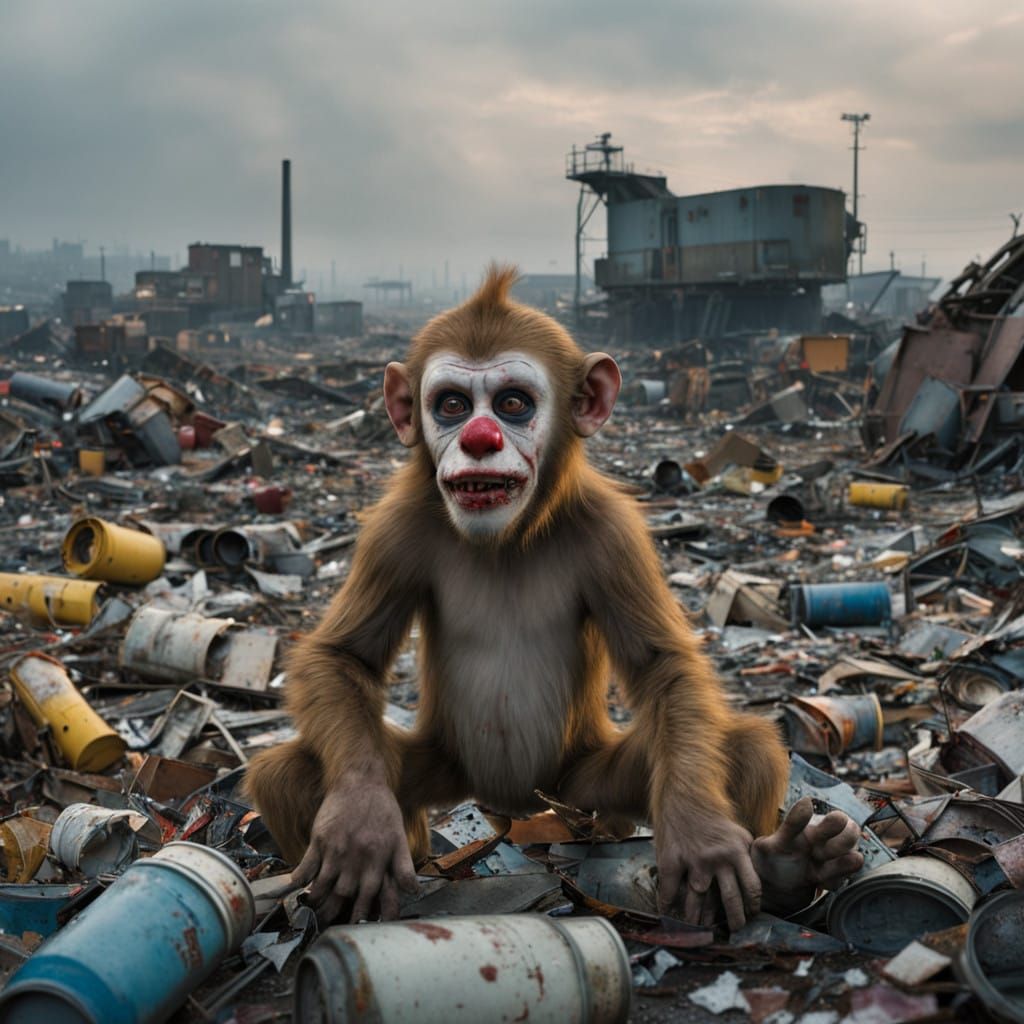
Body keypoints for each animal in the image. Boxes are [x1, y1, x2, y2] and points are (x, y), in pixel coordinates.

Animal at [245, 266, 863, 928]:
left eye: (513, 404)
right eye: (452, 405)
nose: (480, 439)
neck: (508, 539)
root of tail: (507, 807)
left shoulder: (613, 532)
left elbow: (663, 666)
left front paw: (701, 830)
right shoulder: (395, 530)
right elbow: (343, 657)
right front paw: (360, 819)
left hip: (579, 786)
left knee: (743, 749)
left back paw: (787, 869)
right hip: (451, 769)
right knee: (289, 775)